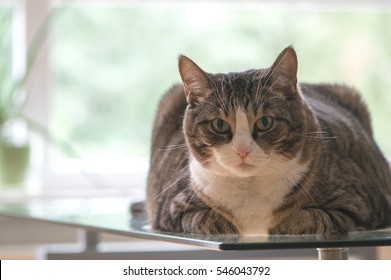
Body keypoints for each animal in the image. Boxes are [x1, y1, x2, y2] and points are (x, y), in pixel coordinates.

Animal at [145, 47, 391, 235]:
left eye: (264, 122)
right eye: (219, 125)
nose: (242, 150)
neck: (250, 187)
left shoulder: (357, 203)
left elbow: (311, 217)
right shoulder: (172, 209)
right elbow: (203, 219)